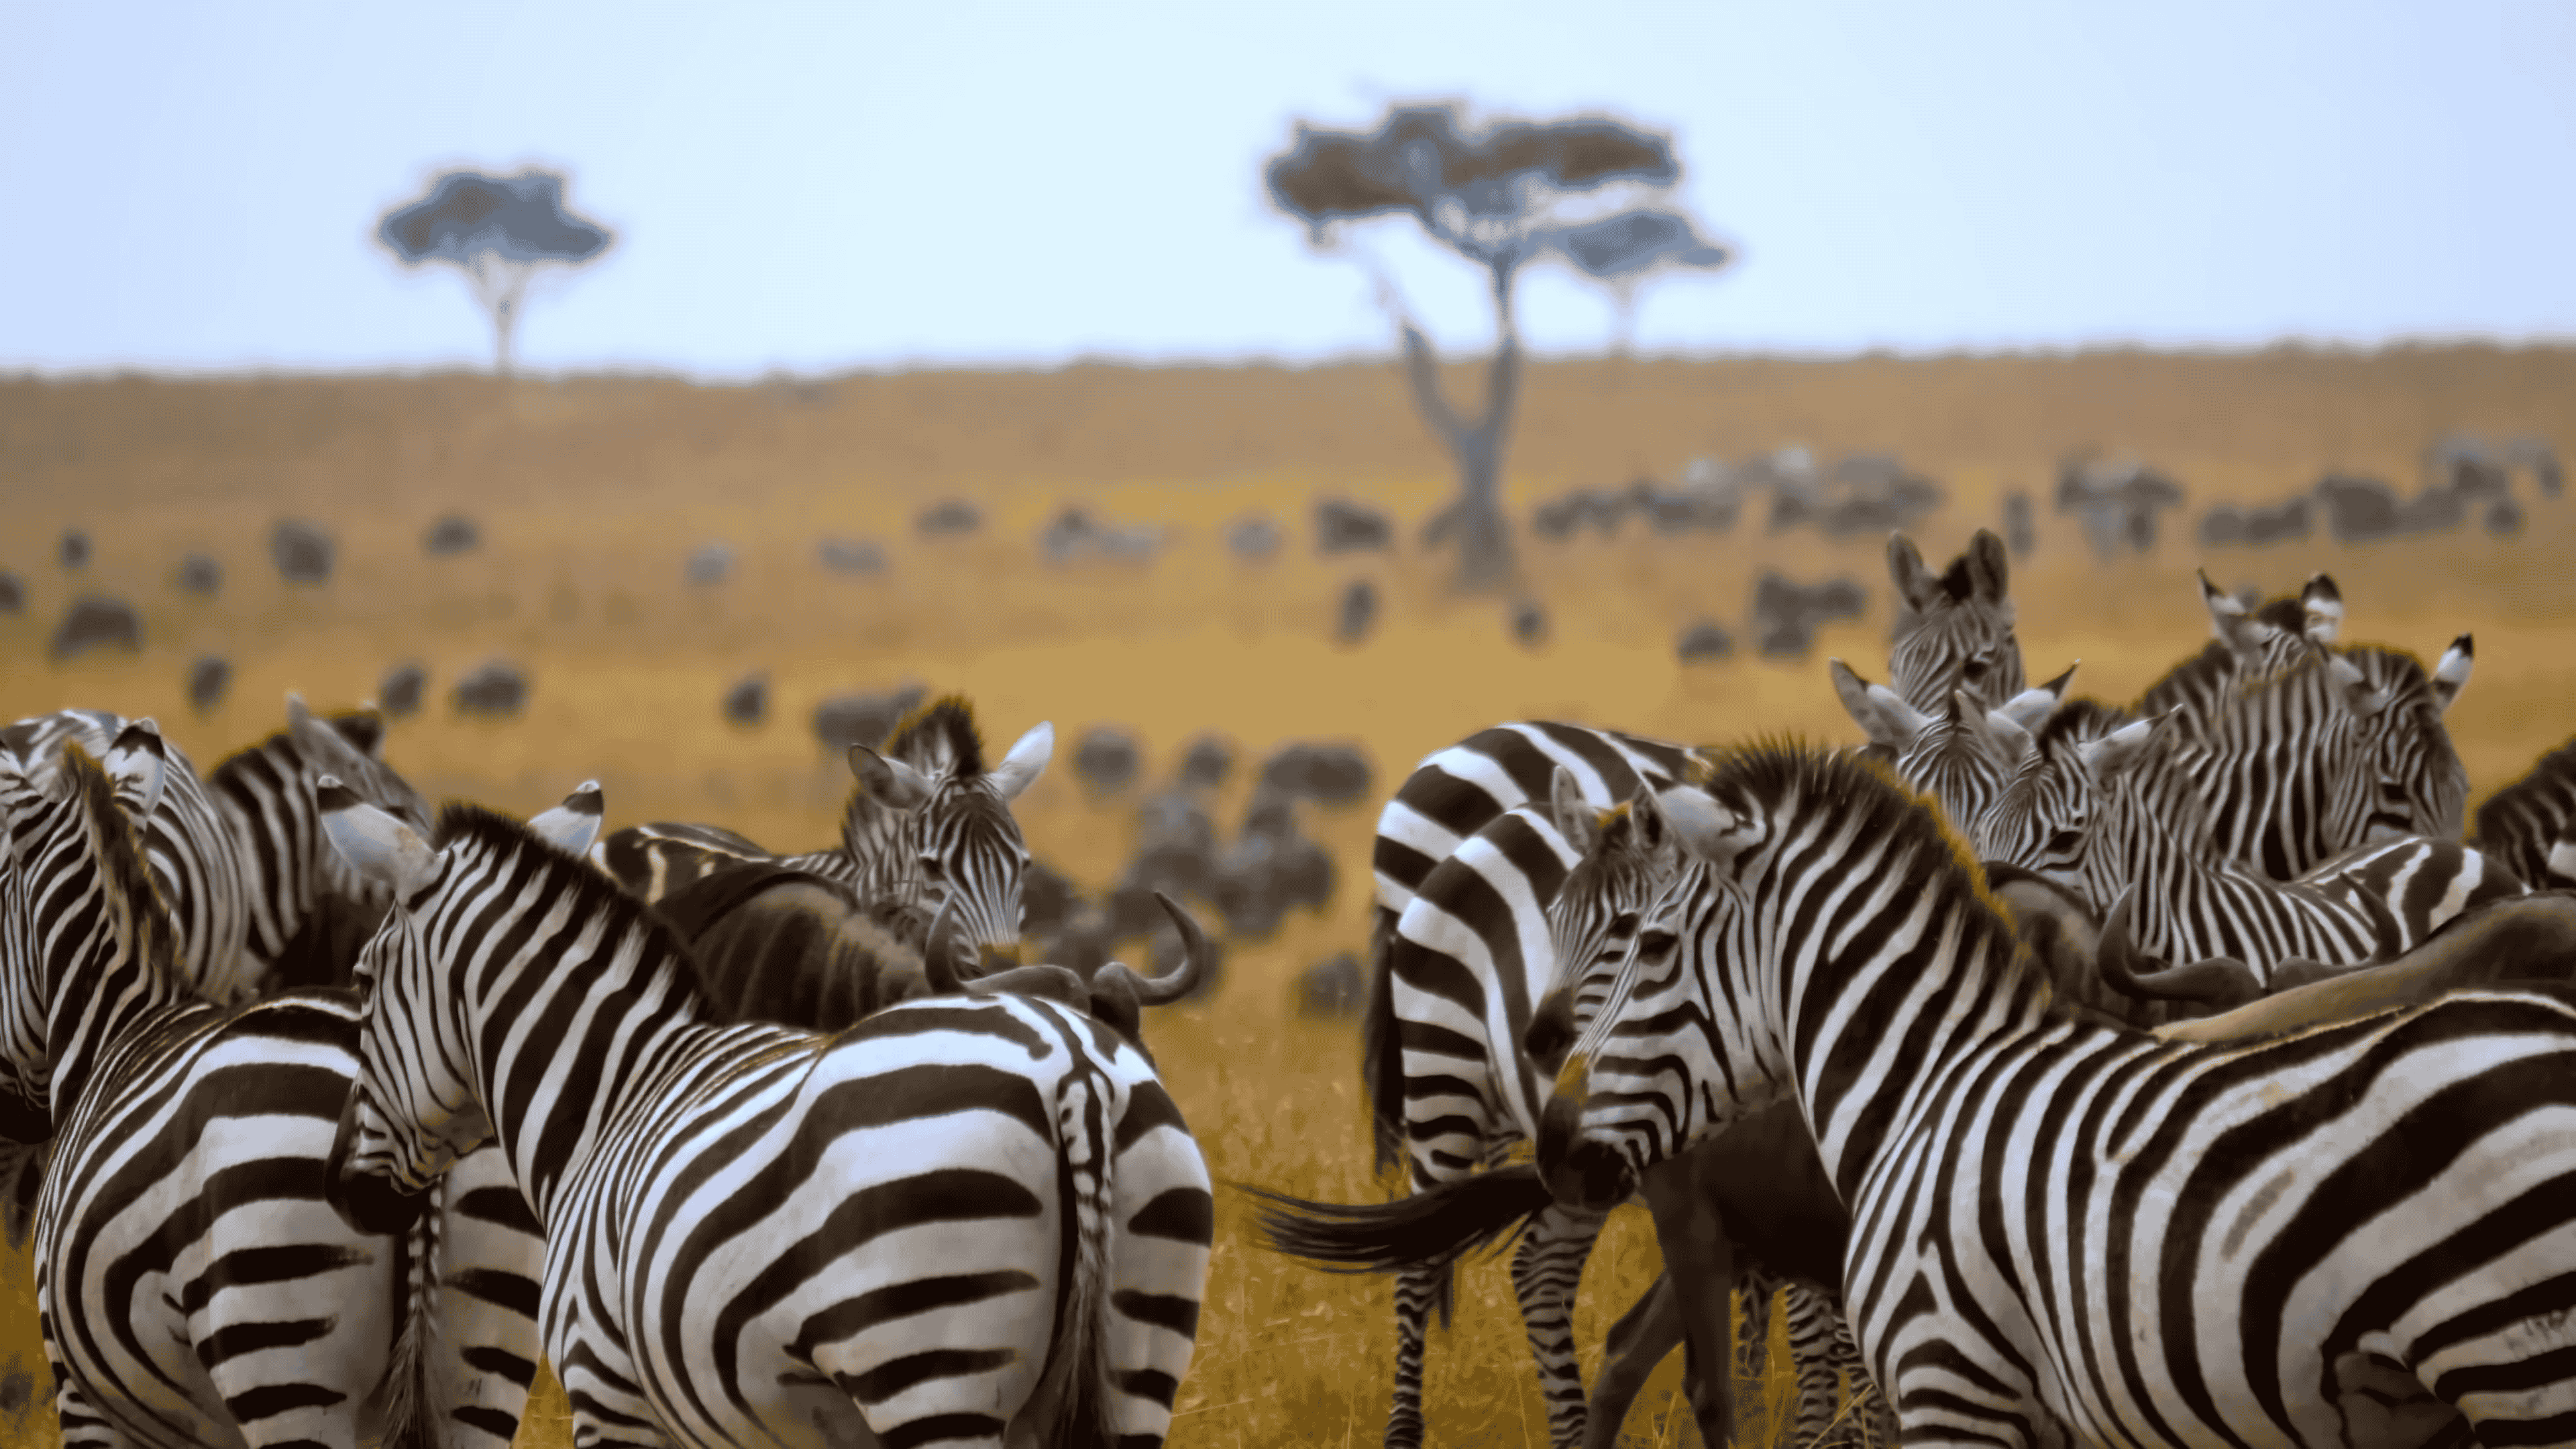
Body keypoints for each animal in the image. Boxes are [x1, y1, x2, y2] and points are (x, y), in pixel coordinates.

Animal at [316, 785, 1213, 1448]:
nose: (341, 1188)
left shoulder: (608, 1387)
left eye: (361, 981)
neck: (616, 1091)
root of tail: (1072, 1074)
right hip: (1137, 1367)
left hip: (930, 1365)